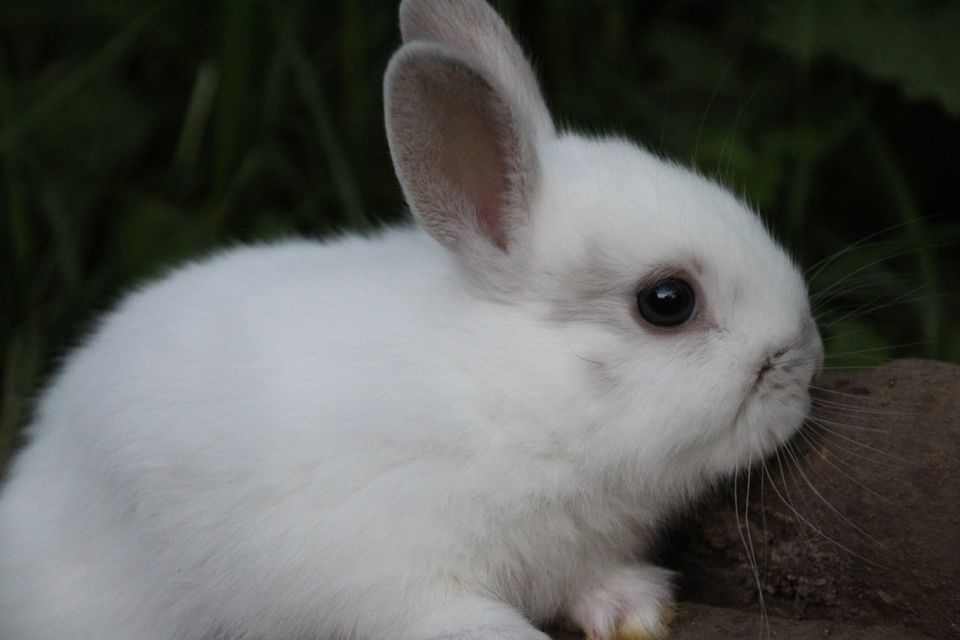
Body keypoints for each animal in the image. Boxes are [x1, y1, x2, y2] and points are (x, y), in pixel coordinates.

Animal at [0, 1, 824, 640]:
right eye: (667, 301)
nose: (806, 357)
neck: (506, 392)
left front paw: (633, 610)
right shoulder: (384, 574)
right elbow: (456, 618)